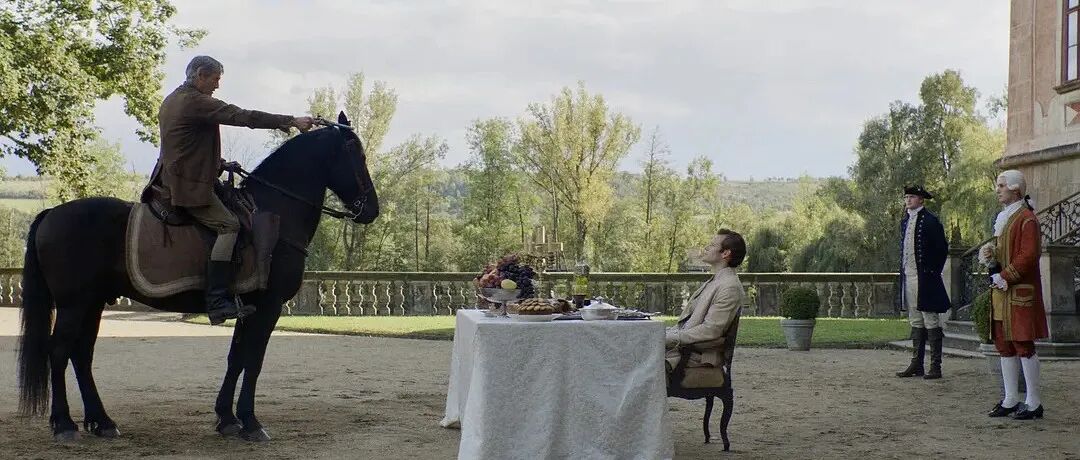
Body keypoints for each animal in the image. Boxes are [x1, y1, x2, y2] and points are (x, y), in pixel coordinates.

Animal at [17, 112, 379, 442]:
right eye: (356, 153)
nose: (372, 209)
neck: (272, 212)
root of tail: (52, 213)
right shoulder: (268, 307)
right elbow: (253, 361)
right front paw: (250, 421)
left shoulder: (247, 309)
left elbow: (236, 359)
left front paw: (227, 418)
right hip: (73, 304)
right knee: (59, 352)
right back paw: (64, 424)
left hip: (91, 304)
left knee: (81, 355)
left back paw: (101, 421)